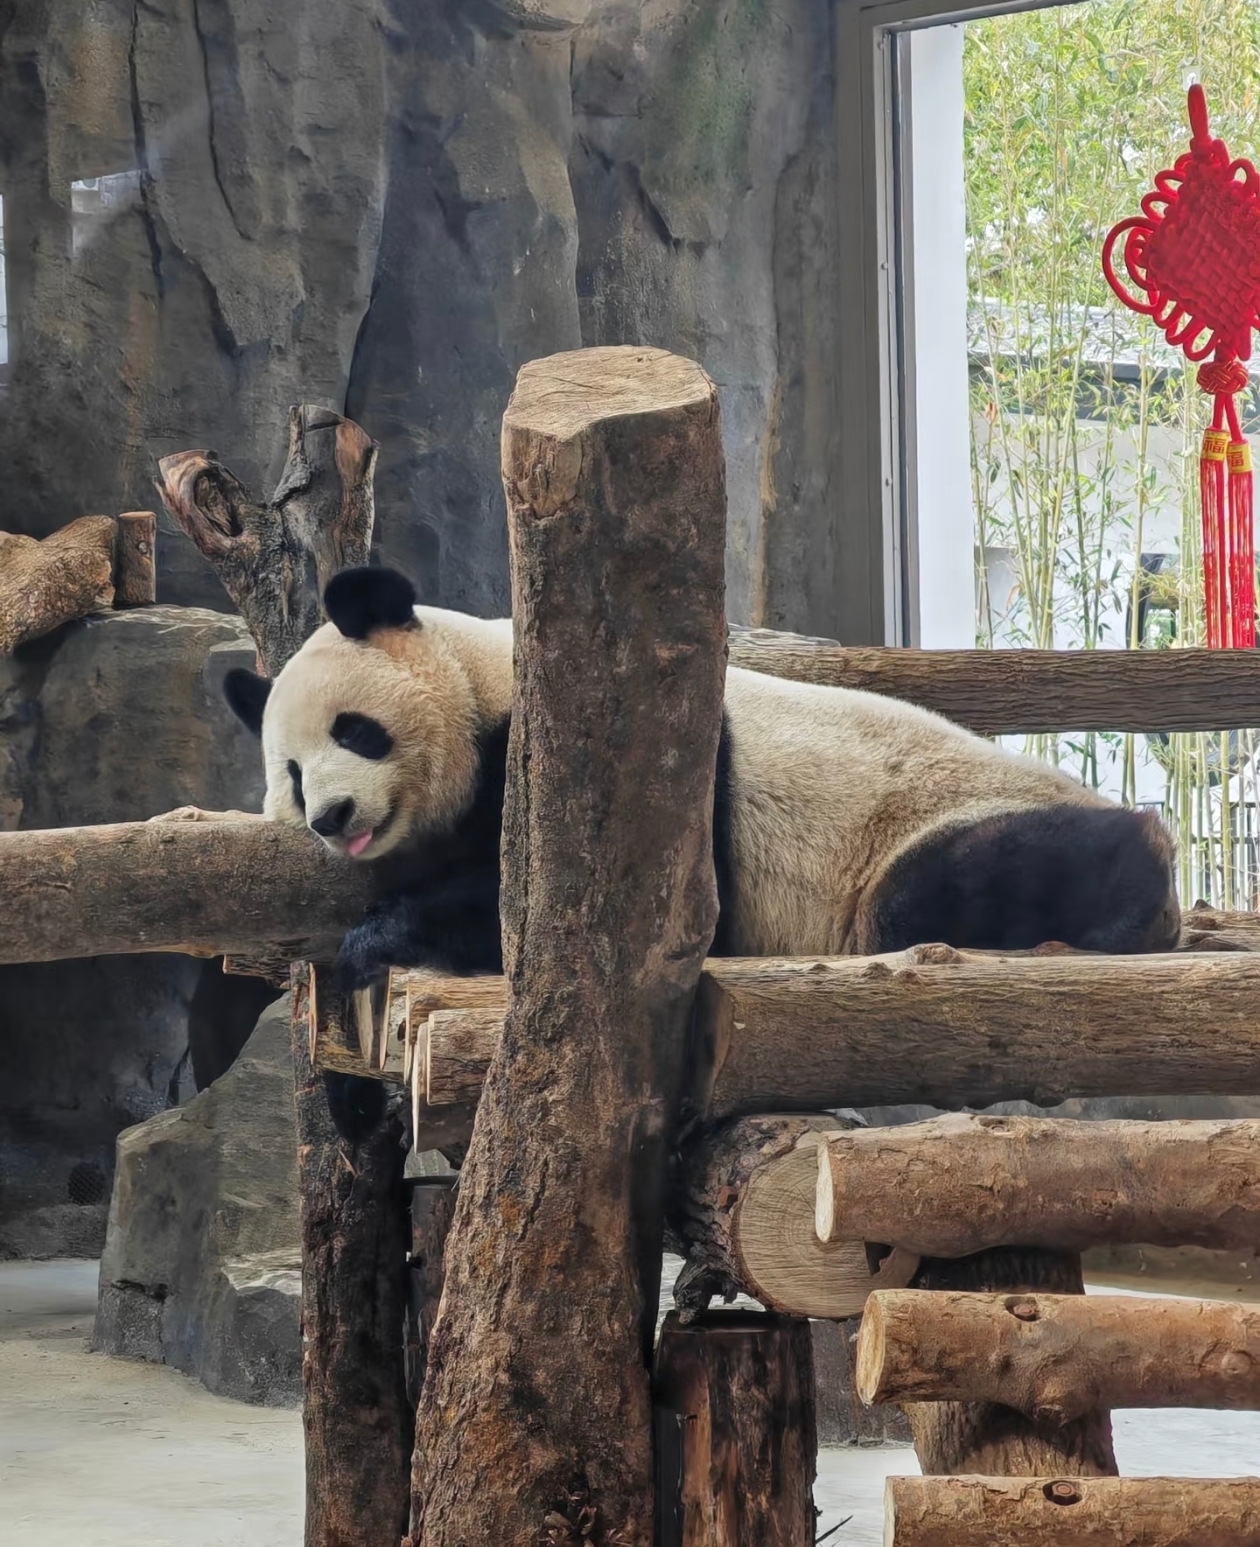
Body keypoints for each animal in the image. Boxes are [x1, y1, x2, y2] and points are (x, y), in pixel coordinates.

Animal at [224, 565, 1181, 1002]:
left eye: (356, 729)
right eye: (291, 774)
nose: (333, 814)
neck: (483, 674)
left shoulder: (595, 755)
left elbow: (566, 910)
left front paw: (373, 937)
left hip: (928, 821)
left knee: (950, 886)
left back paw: (1136, 890)